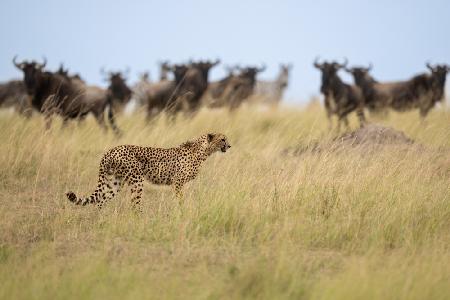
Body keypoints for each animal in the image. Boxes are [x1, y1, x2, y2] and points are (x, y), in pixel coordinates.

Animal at [66, 133, 232, 209]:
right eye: (222, 139)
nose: (229, 146)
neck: (203, 151)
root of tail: (111, 150)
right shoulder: (177, 182)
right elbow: (180, 199)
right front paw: (181, 210)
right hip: (136, 180)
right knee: (134, 204)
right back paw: (140, 220)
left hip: (114, 182)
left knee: (101, 200)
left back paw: (102, 220)